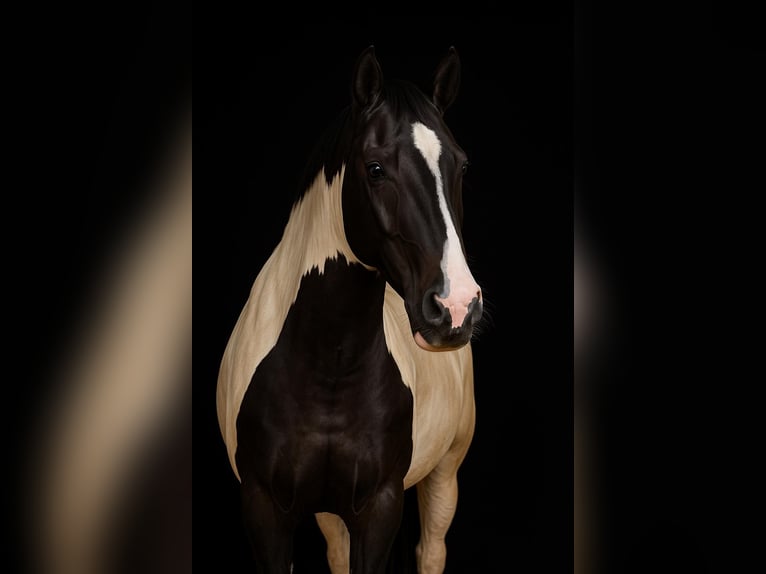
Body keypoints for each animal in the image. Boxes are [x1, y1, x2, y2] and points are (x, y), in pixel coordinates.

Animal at [216, 45, 483, 574]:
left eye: (461, 167)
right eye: (375, 168)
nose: (457, 306)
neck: (327, 363)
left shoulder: (380, 507)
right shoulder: (264, 510)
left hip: (445, 472)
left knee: (432, 550)